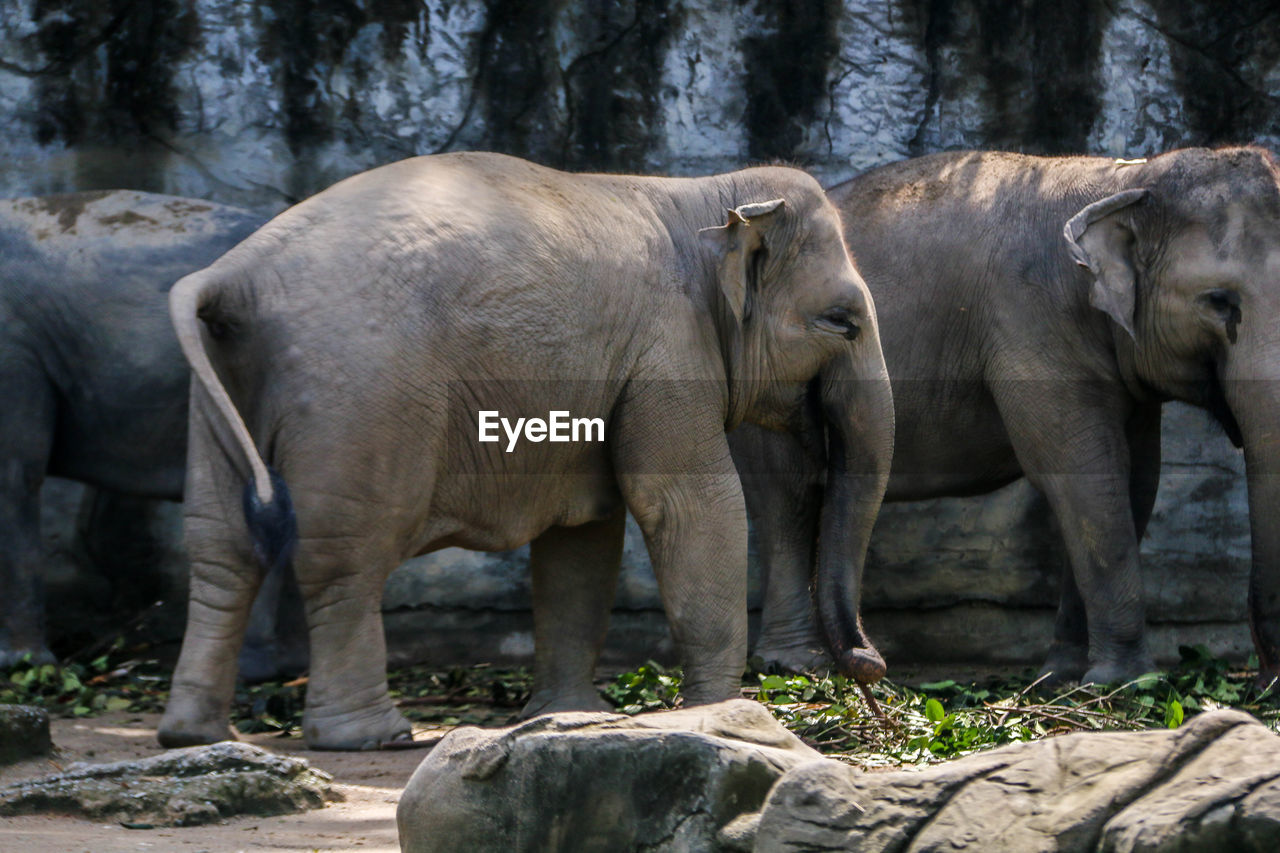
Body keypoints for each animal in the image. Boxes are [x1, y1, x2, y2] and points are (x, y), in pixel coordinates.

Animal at [160, 149, 896, 747]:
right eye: (843, 321)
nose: (872, 668)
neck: (704, 196)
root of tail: (232, 274)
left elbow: (584, 535)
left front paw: (569, 716)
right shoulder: (668, 351)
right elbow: (688, 504)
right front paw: (725, 715)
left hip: (224, 391)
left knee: (220, 547)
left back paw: (194, 733)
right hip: (359, 398)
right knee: (346, 556)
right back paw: (372, 736)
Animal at [737, 147, 1280, 686]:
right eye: (1218, 301)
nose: (1263, 676)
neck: (1125, 180)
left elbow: (1135, 480)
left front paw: (1062, 677)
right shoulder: (1031, 327)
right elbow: (1084, 477)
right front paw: (1124, 682)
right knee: (788, 493)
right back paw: (795, 666)